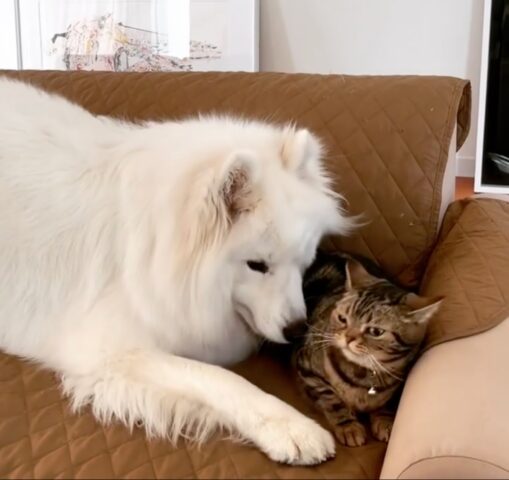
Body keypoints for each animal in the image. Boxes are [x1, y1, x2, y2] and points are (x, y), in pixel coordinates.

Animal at [0, 79, 350, 464]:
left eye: (305, 260)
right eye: (257, 265)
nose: (298, 329)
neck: (156, 245)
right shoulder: (109, 351)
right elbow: (219, 378)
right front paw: (290, 426)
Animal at [294, 251, 440, 446]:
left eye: (375, 331)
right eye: (342, 319)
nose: (348, 337)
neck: (361, 374)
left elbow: (386, 403)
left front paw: (385, 421)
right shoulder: (306, 367)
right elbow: (331, 398)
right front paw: (348, 426)